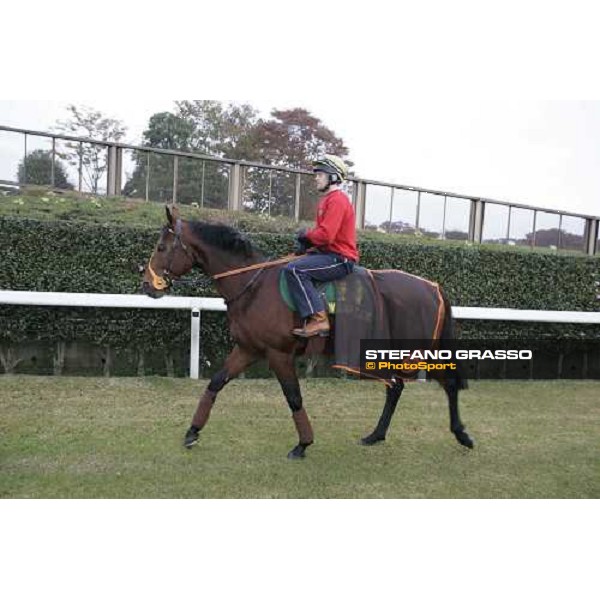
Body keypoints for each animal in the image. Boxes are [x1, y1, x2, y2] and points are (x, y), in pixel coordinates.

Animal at [141, 206, 474, 460]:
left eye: (161, 247)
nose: (146, 284)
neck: (254, 284)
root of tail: (433, 287)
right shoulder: (248, 349)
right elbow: (215, 383)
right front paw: (192, 432)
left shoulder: (279, 354)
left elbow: (294, 397)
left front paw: (303, 444)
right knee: (396, 387)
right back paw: (375, 435)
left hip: (416, 349)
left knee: (445, 384)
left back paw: (462, 435)